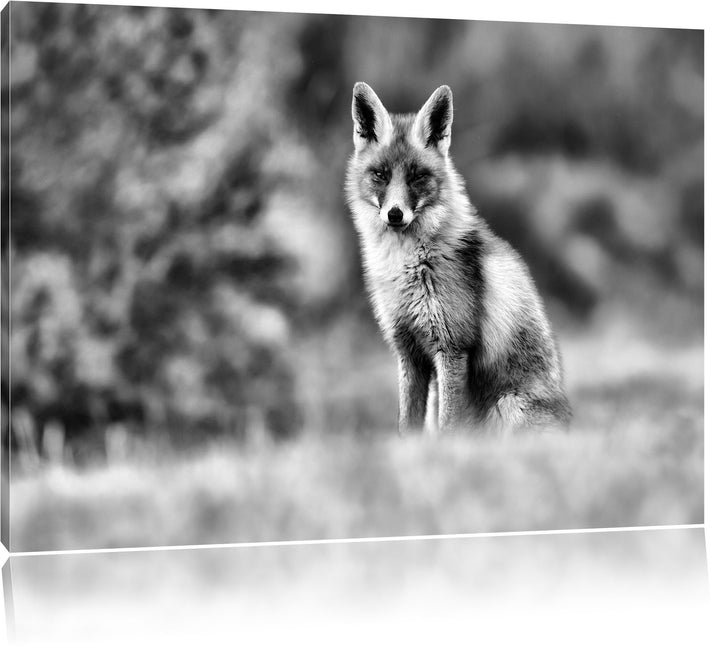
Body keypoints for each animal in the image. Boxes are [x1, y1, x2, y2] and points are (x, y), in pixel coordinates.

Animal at [345, 82, 571, 435]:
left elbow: (449, 428)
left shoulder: (451, 348)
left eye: (417, 177)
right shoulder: (408, 352)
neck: (408, 267)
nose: (395, 215)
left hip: (510, 406)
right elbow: (407, 427)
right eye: (380, 174)